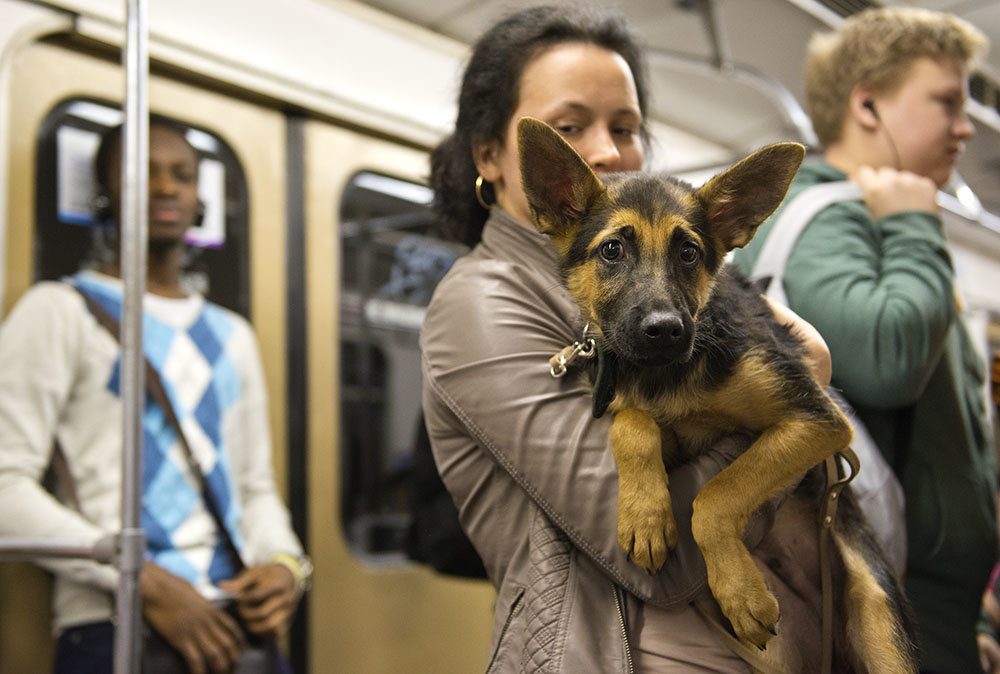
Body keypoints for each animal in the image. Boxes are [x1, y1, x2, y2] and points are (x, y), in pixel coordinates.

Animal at [520, 118, 916, 668]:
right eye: (612, 250)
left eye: (688, 253)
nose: (665, 331)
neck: (669, 373)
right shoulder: (654, 423)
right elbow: (632, 423)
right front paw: (645, 515)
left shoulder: (816, 419)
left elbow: (716, 494)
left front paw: (740, 589)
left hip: (879, 618)